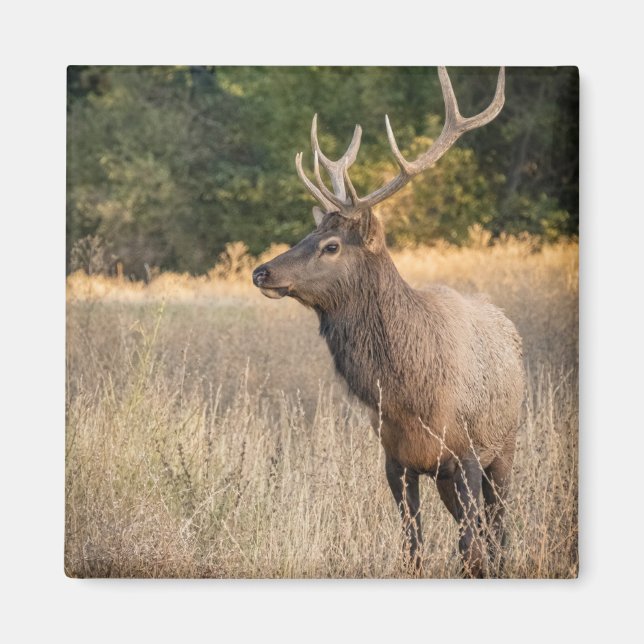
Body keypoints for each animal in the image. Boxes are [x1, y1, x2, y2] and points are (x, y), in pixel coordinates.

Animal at [252, 67, 524, 578]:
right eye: (308, 233)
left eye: (331, 245)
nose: (262, 271)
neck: (410, 394)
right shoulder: (396, 459)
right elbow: (412, 549)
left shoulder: (468, 452)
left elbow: (469, 550)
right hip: (445, 475)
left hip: (506, 447)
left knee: (496, 532)